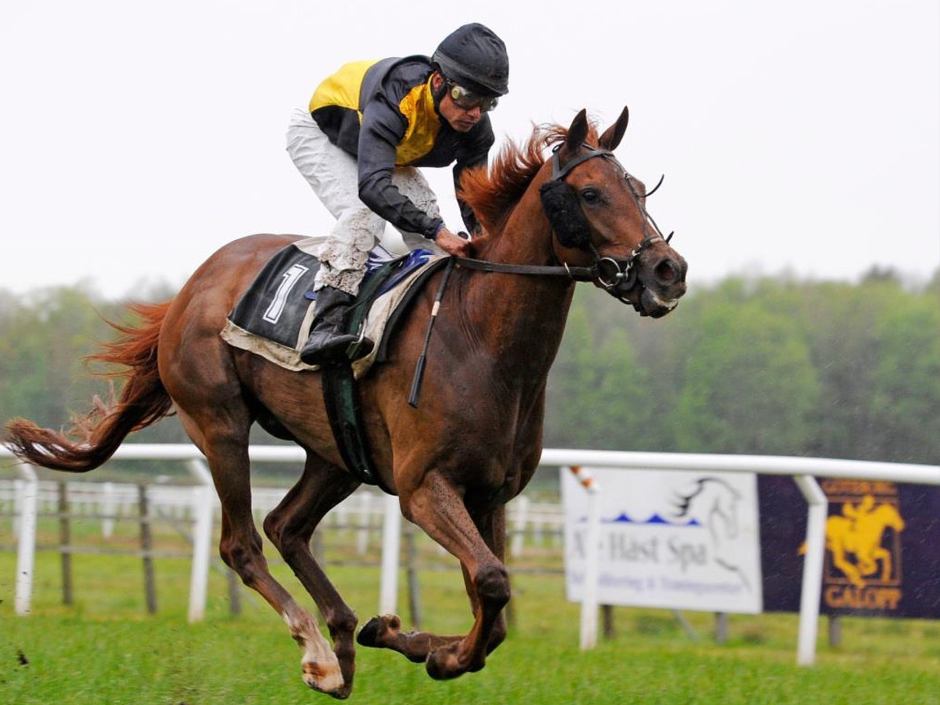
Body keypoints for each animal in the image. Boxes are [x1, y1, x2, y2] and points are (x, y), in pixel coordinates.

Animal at [3, 107, 688, 696]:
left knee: (287, 526)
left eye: (640, 190)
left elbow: (491, 608)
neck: (481, 337)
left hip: (336, 451)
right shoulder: (424, 487)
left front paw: (407, 638)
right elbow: (492, 583)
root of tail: (192, 287)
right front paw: (433, 652)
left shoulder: (490, 493)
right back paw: (318, 655)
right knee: (242, 543)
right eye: (592, 193)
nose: (668, 271)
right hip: (218, 423)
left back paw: (345, 637)